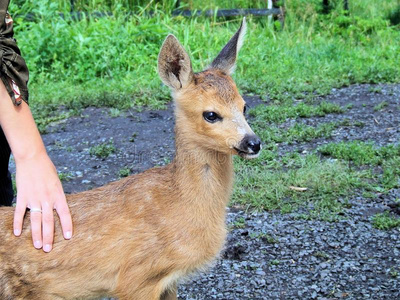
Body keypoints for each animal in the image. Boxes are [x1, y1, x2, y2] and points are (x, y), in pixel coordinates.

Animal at [0, 19, 260, 300]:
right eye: (211, 114)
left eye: (244, 106)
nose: (253, 143)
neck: (182, 201)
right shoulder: (136, 278)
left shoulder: (168, 283)